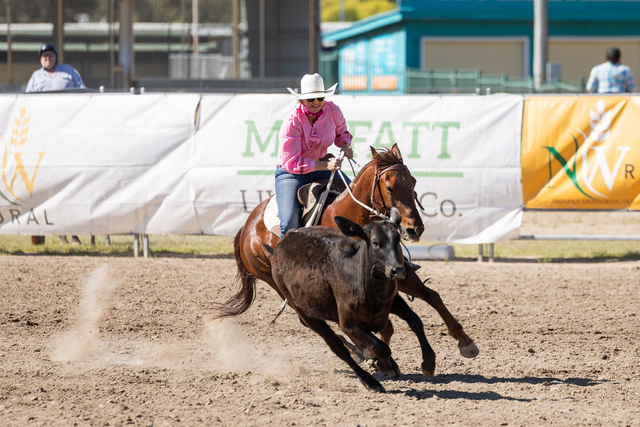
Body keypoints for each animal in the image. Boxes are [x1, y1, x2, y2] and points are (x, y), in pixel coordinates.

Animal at [209, 143, 478, 377]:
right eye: (389, 187)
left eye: (413, 182)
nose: (415, 229)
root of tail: (246, 228)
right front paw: (377, 356)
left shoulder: (399, 273)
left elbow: (432, 296)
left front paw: (465, 342)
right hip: (280, 285)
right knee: (309, 320)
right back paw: (363, 353)